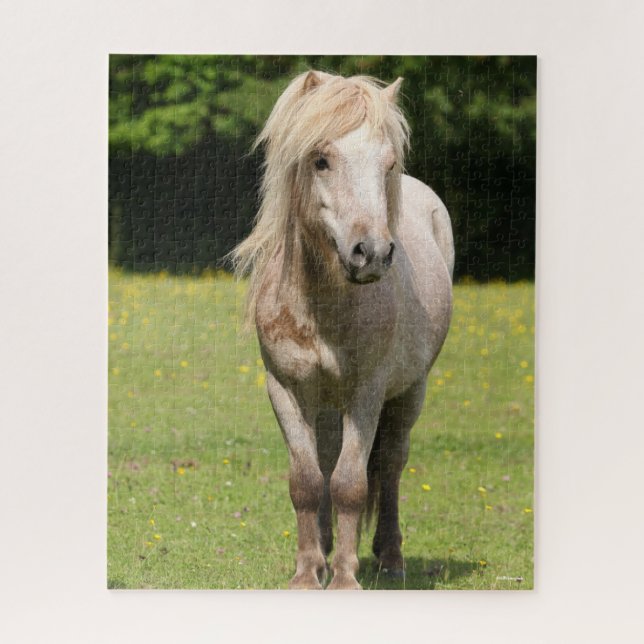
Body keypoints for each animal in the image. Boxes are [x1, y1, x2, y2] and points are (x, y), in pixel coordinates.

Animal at [232, 70, 454, 590]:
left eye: (388, 163)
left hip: (410, 391)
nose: (371, 253)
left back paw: (390, 558)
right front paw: (306, 572)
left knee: (390, 465)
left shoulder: (366, 393)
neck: (322, 304)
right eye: (321, 160)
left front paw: (346, 579)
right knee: (327, 459)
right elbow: (307, 480)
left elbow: (352, 482)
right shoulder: (286, 389)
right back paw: (327, 550)